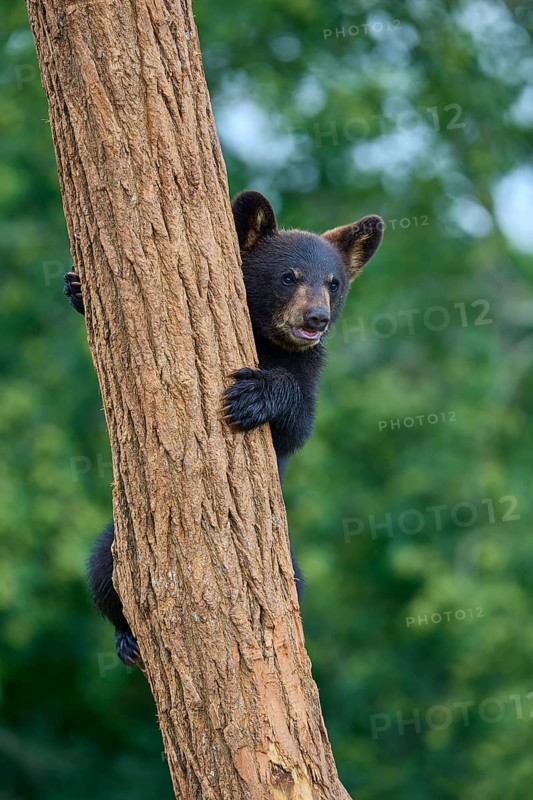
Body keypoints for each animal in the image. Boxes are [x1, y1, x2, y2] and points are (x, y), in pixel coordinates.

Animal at [64, 190, 383, 665]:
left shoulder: (308, 367)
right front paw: (78, 289)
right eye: (288, 276)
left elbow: (299, 422)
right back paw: (126, 638)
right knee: (103, 571)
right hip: (117, 539)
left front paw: (252, 396)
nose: (316, 318)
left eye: (334, 283)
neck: (266, 338)